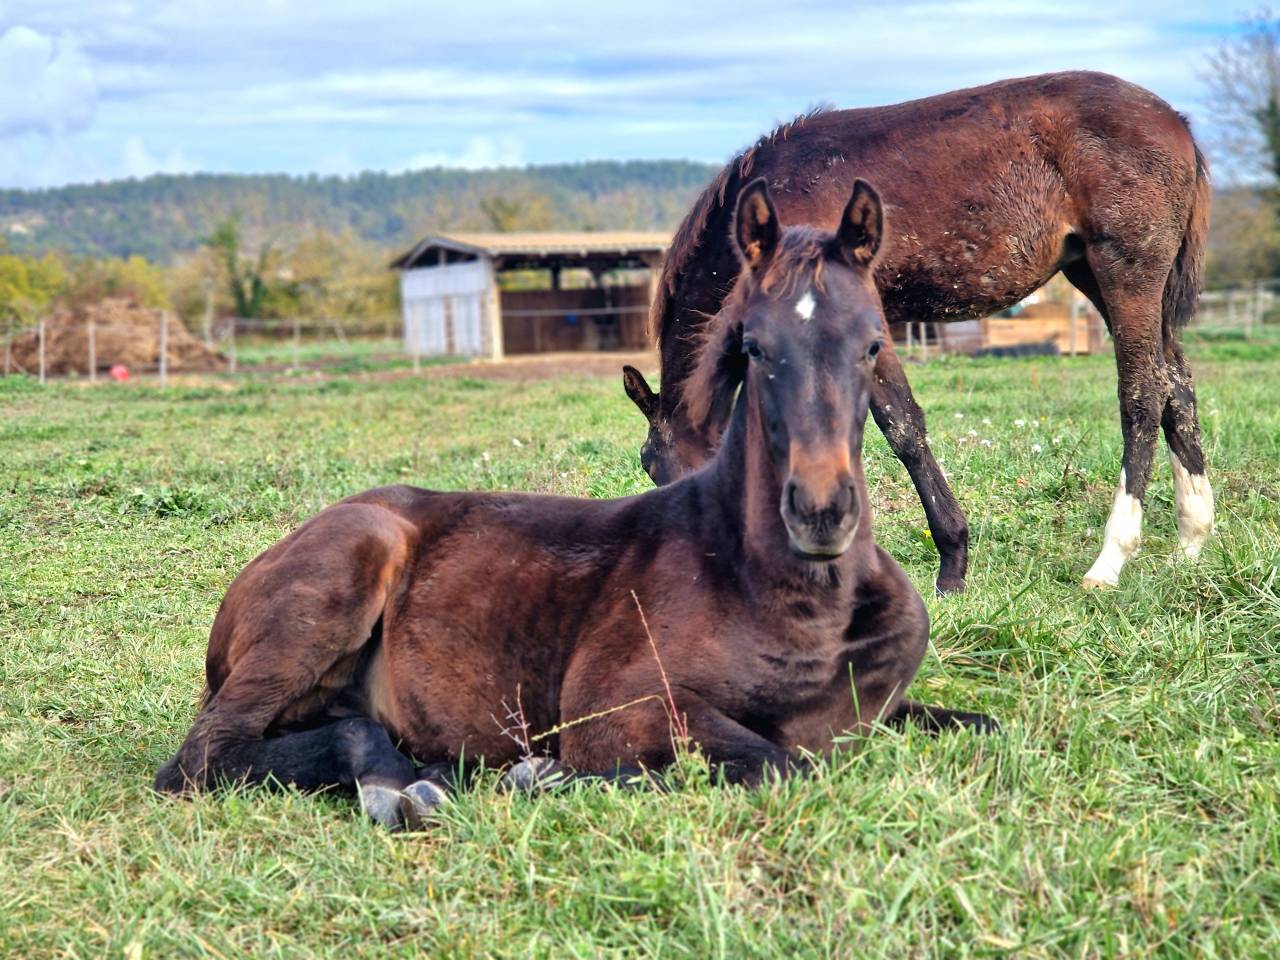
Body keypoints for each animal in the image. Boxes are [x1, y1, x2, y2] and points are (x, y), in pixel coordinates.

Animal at [154, 179, 995, 829]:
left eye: (875, 343)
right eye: (755, 347)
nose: (820, 514)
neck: (796, 600)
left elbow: (977, 724)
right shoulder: (618, 706)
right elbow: (775, 761)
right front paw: (539, 776)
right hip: (343, 574)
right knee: (201, 757)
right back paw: (409, 785)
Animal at [621, 71, 1214, 593]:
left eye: (662, 469)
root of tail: (1178, 124)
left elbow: (900, 426)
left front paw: (952, 564)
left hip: (1126, 273)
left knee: (1142, 397)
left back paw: (1110, 561)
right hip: (1098, 276)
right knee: (1177, 389)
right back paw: (1190, 544)